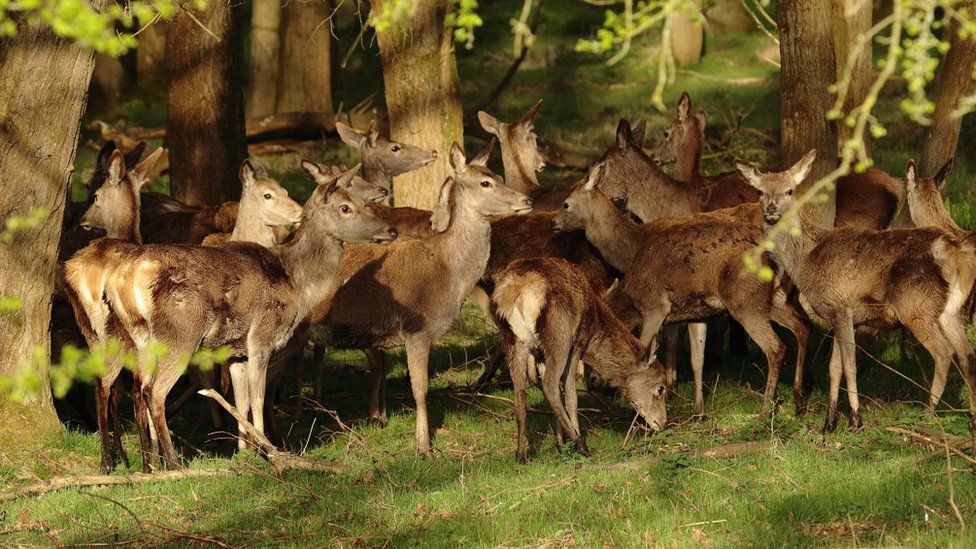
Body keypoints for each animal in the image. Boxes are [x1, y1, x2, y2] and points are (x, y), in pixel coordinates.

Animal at [306, 141, 532, 454]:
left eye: (499, 175)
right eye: (485, 183)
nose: (527, 200)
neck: (446, 275)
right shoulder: (416, 328)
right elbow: (420, 388)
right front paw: (423, 445)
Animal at [492, 256, 668, 458]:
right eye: (661, 388)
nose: (663, 423)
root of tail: (517, 290)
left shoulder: (540, 354)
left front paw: (560, 444)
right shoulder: (578, 344)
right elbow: (571, 396)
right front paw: (571, 441)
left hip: (512, 340)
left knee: (520, 392)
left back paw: (521, 454)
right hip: (559, 335)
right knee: (549, 385)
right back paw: (581, 445)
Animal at [552, 163, 812, 416]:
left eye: (566, 203)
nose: (552, 223)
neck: (635, 246)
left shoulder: (657, 308)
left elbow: (650, 347)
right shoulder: (695, 312)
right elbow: (697, 359)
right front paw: (697, 411)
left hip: (746, 303)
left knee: (776, 347)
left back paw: (766, 410)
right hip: (777, 298)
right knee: (801, 326)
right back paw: (799, 398)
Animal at [736, 150, 976, 432]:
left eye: (789, 190)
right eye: (760, 191)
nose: (771, 208)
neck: (805, 260)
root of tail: (954, 252)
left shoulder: (841, 306)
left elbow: (849, 365)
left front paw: (855, 419)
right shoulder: (838, 315)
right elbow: (834, 367)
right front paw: (829, 422)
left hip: (916, 306)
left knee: (944, 353)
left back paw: (929, 412)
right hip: (953, 311)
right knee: (967, 354)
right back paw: (970, 417)